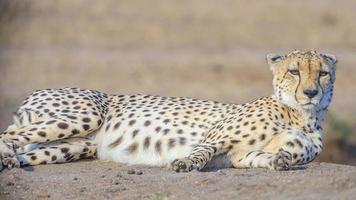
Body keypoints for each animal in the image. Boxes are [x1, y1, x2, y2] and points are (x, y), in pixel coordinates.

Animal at [0, 50, 336, 172]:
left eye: (322, 73)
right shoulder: (213, 138)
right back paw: (6, 155)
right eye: (294, 71)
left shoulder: (243, 156)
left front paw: (280, 160)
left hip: (74, 147)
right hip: (88, 114)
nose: (311, 93)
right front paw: (185, 164)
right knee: (7, 133)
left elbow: (271, 157)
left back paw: (9, 162)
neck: (301, 115)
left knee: (23, 148)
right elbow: (200, 152)